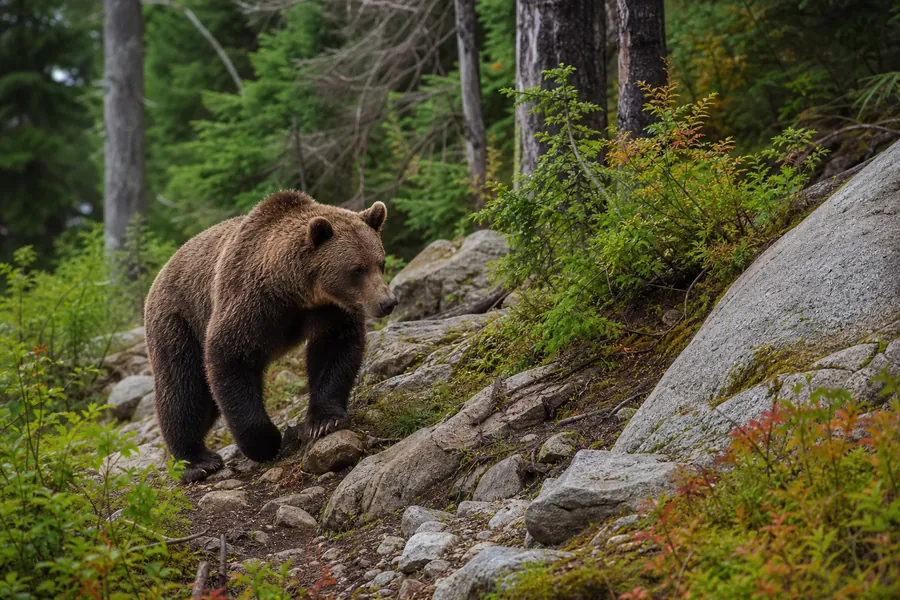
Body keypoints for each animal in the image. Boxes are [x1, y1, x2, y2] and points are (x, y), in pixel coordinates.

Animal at [144, 190, 397, 483]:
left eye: (380, 262)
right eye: (357, 269)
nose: (388, 302)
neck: (293, 291)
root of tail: (162, 270)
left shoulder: (329, 310)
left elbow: (334, 350)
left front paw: (324, 421)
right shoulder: (249, 303)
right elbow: (230, 358)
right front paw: (265, 442)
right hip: (178, 320)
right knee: (183, 387)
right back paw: (197, 461)